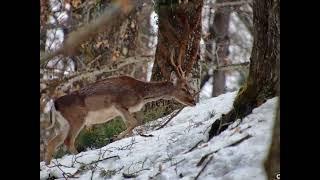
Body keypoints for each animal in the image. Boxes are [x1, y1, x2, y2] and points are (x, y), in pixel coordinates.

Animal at [43, 54, 196, 165]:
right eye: (184, 88)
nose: (193, 101)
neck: (141, 94)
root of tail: (54, 105)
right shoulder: (119, 104)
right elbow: (135, 123)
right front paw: (115, 137)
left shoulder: (126, 110)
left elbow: (132, 125)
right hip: (77, 119)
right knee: (68, 141)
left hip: (63, 124)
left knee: (52, 143)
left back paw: (48, 166)